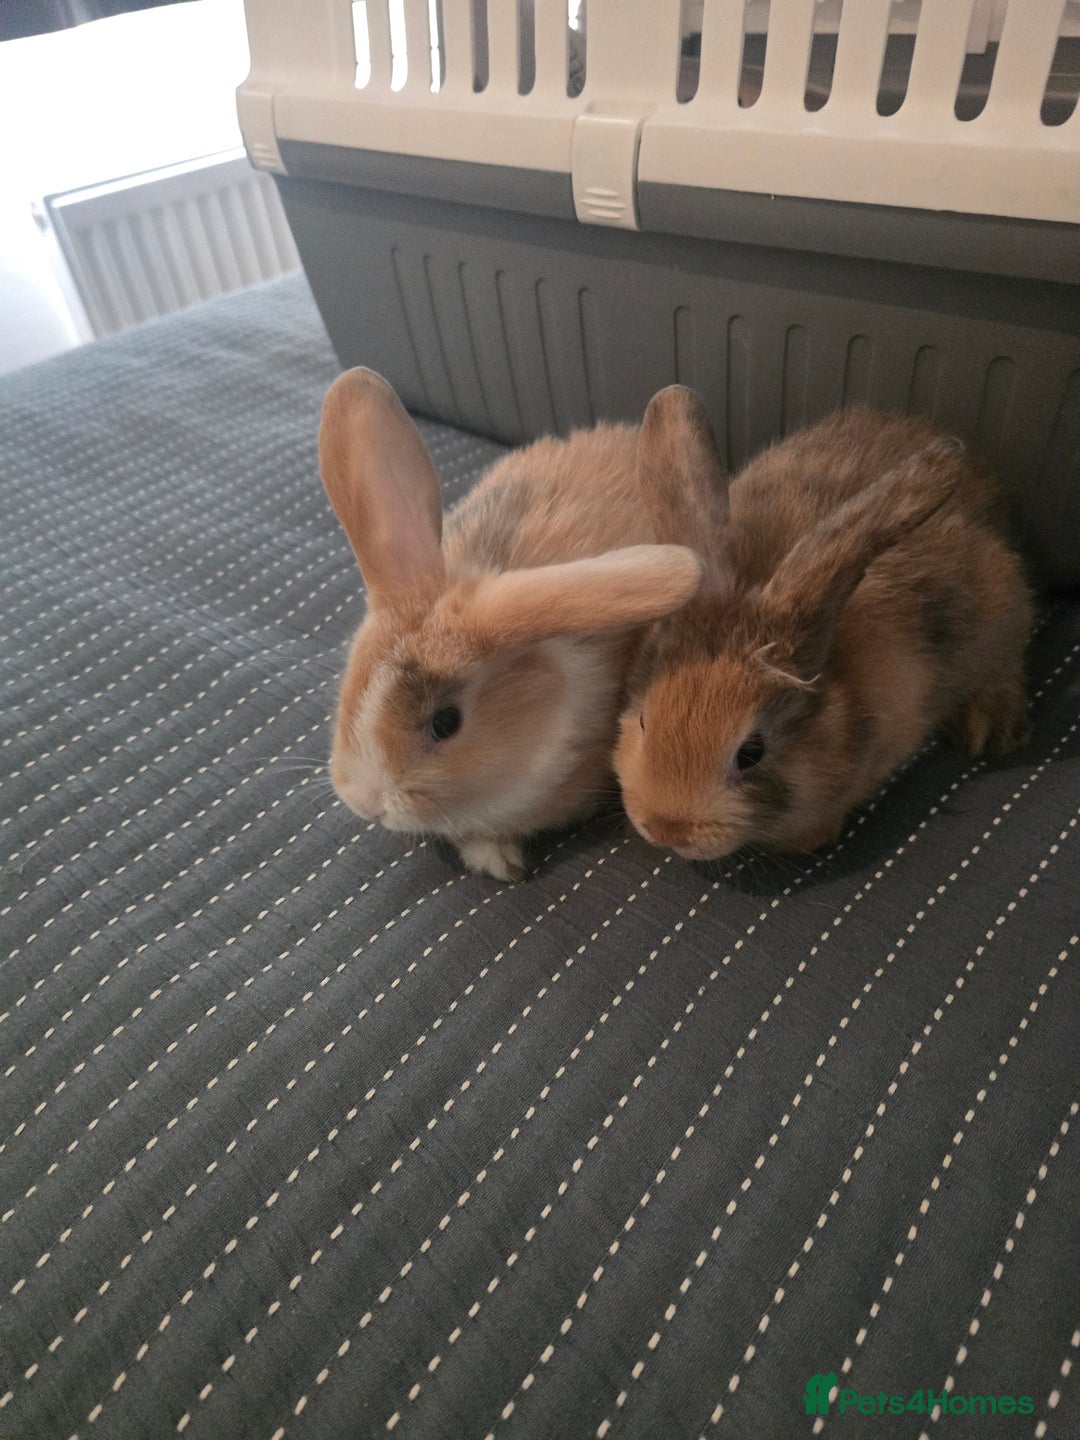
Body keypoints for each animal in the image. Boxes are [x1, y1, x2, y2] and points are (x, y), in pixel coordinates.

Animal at [613, 387, 1033, 861]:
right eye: (643, 720)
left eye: (751, 753)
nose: (667, 828)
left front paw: (805, 842)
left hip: (1002, 611)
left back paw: (993, 730)